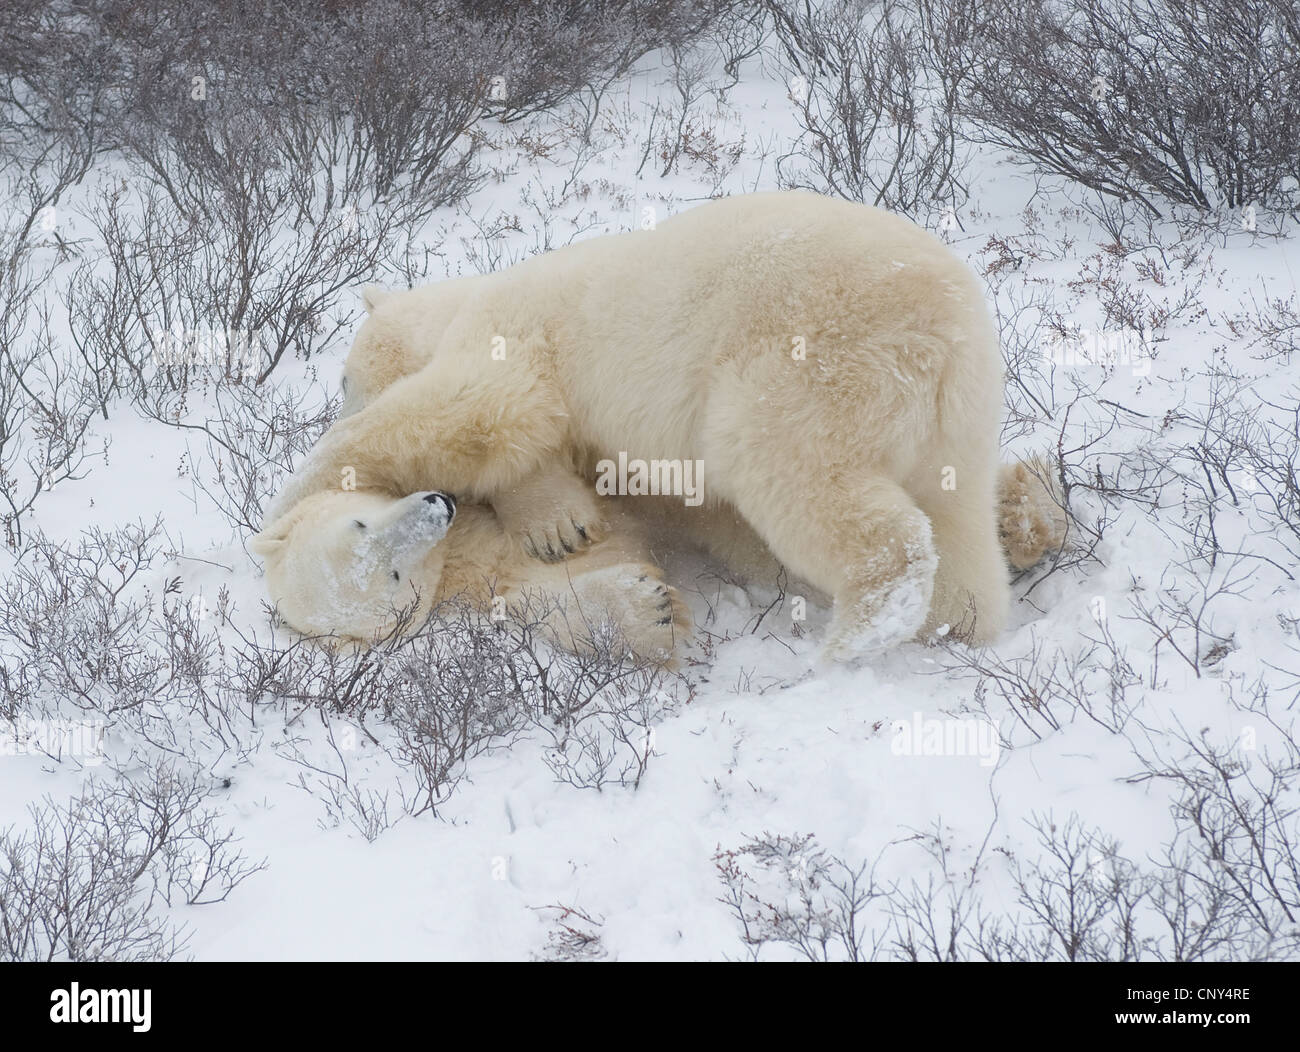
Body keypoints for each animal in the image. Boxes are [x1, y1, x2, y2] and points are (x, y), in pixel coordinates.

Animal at [249, 484, 692, 661]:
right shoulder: (486, 577)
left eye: (358, 524)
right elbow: (532, 599)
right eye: (394, 576)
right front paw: (654, 610)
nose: (437, 505)